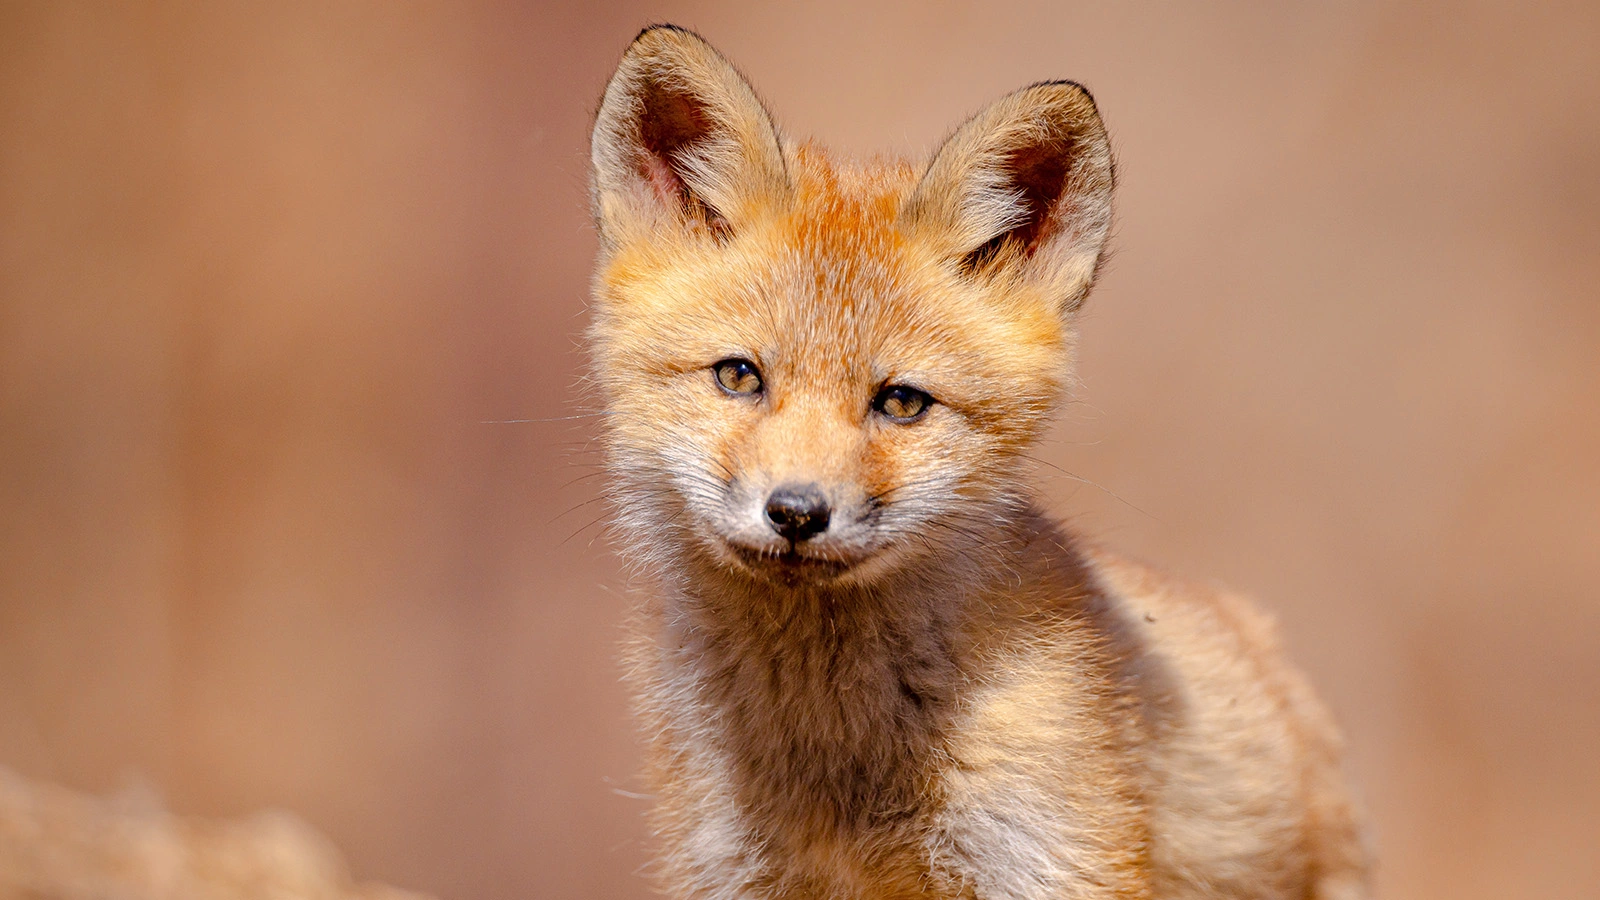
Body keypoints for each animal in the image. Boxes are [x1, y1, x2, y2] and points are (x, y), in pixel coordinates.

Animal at [586, 25, 1370, 900]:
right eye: (739, 377)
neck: (839, 766)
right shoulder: (731, 871)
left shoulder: (1051, 859)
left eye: (901, 402)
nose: (796, 513)